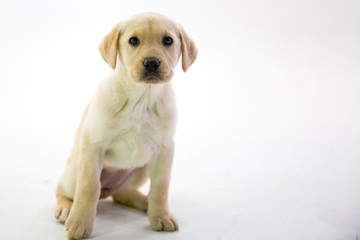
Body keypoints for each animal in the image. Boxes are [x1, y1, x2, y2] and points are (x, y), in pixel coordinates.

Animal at [53, 13, 197, 240]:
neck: (142, 97)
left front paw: (161, 215)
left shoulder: (164, 149)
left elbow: (161, 186)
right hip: (76, 166)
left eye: (168, 41)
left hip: (143, 167)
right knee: (64, 190)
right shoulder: (93, 143)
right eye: (133, 41)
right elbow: (88, 186)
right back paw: (67, 208)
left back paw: (147, 204)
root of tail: (108, 191)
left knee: (122, 194)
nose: (151, 62)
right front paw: (80, 222)